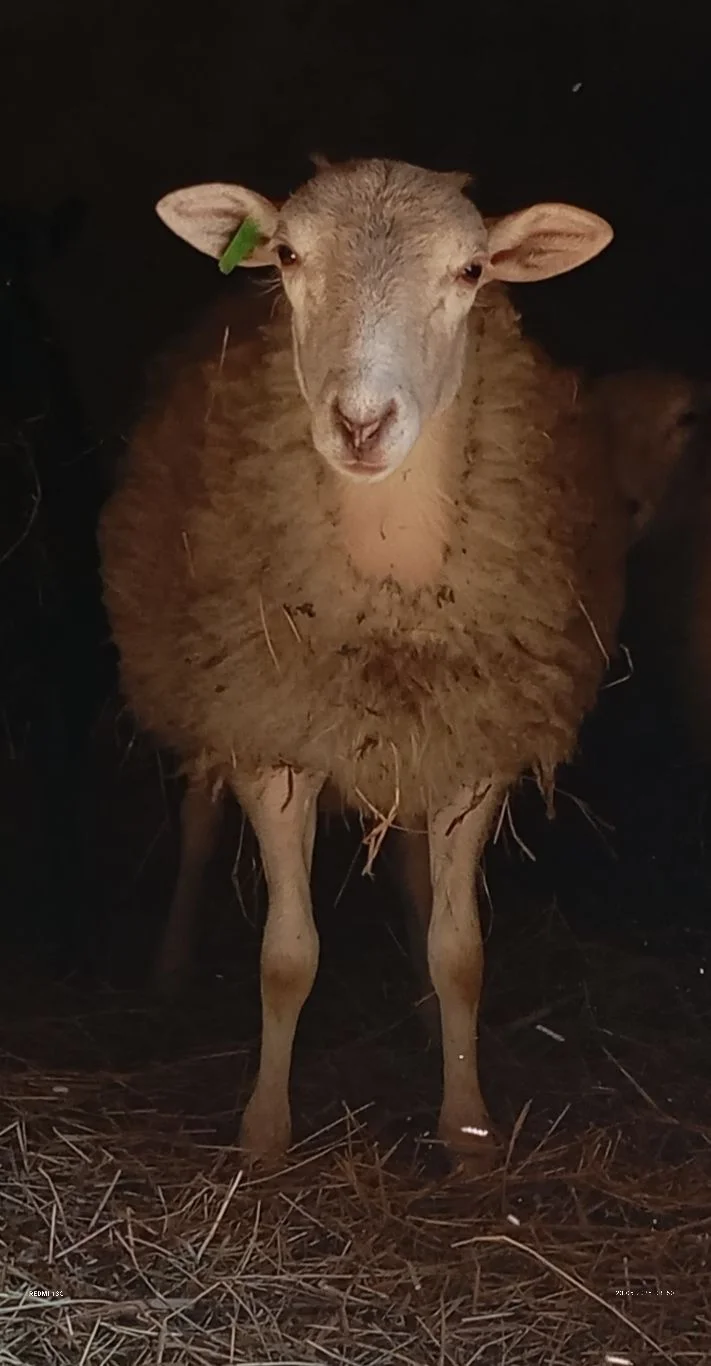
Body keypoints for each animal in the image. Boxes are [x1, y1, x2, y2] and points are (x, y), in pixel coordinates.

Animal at [100, 156, 632, 1169]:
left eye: (472, 271)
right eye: (285, 255)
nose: (360, 423)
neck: (388, 581)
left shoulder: (474, 751)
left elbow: (460, 951)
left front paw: (467, 1127)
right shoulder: (273, 742)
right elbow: (286, 956)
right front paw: (264, 1134)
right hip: (209, 691)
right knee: (197, 825)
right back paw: (170, 967)